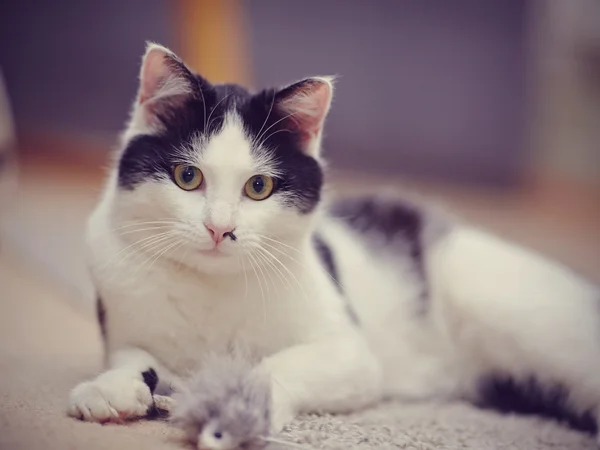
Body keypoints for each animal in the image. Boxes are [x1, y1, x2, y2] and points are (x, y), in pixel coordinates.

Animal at [69, 43, 600, 442]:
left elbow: (279, 364)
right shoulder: (124, 327)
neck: (212, 291)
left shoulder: (349, 353)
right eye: (187, 177)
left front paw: (237, 404)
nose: (220, 229)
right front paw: (108, 388)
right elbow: (133, 358)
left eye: (258, 187)